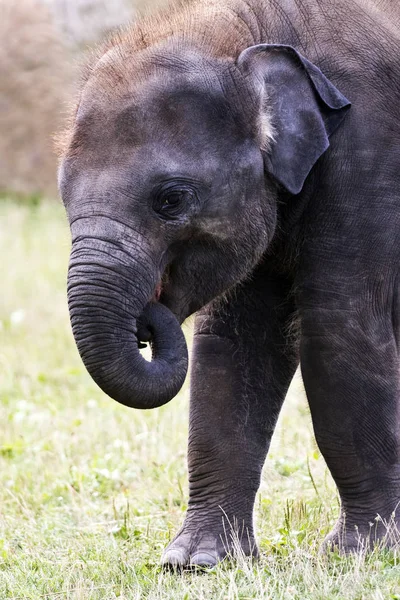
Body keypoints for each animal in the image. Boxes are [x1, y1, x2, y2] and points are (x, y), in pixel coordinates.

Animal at [58, 0, 400, 568]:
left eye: (171, 199)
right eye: (63, 197)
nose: (147, 323)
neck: (254, 27)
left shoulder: (371, 152)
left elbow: (339, 330)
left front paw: (362, 553)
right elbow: (235, 343)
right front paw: (194, 563)